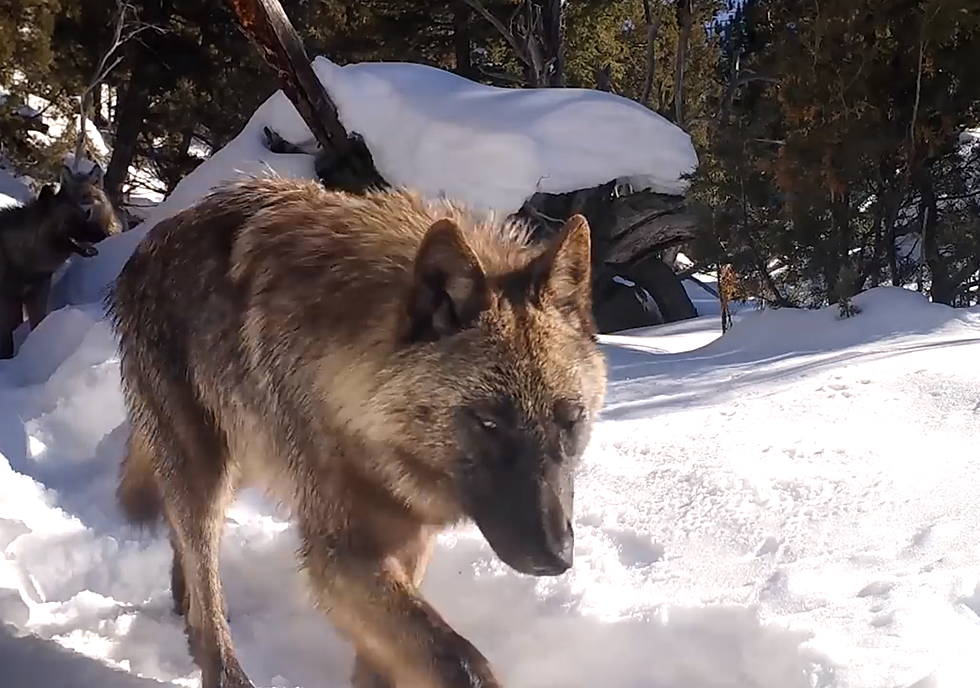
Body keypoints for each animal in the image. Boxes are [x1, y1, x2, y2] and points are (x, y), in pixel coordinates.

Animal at [0, 164, 121, 358]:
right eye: (76, 219)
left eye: (88, 209)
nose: (105, 234)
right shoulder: (8, 300)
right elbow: (7, 339)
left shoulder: (37, 295)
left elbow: (36, 324)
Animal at [111, 176, 608, 688]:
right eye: (489, 422)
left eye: (571, 420)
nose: (556, 557)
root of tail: (151, 238)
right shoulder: (340, 552)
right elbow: (459, 662)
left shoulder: (408, 536)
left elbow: (385, 654)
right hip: (205, 473)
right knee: (204, 578)